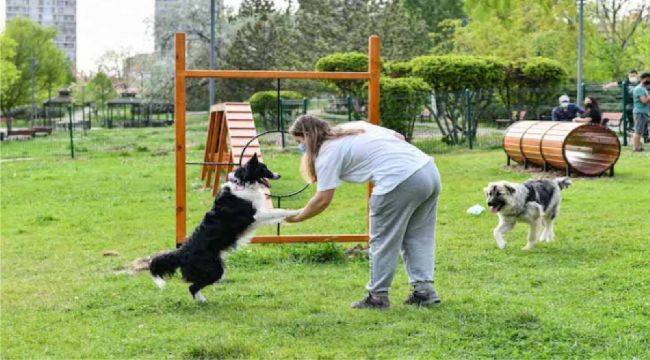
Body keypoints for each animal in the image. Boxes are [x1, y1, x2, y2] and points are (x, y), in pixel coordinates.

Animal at [149, 153, 298, 302]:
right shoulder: (255, 216)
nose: (279, 175)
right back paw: (203, 301)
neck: (242, 183)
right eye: (264, 168)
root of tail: (182, 252)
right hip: (215, 270)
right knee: (193, 287)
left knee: (193, 286)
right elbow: (278, 211)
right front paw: (295, 212)